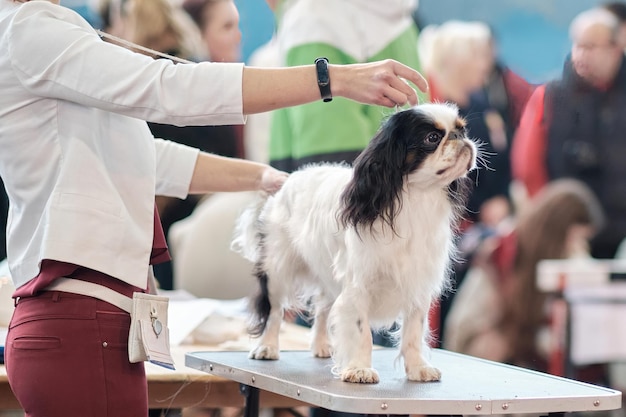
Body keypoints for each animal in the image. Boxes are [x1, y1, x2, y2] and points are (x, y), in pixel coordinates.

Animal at [232, 102, 476, 382]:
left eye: (462, 129)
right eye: (433, 138)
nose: (461, 138)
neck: (414, 197)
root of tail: (288, 181)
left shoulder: (417, 284)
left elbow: (413, 332)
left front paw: (417, 368)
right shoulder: (358, 285)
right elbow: (361, 332)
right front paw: (359, 369)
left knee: (323, 309)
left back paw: (321, 346)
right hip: (277, 270)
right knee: (274, 311)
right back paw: (267, 347)